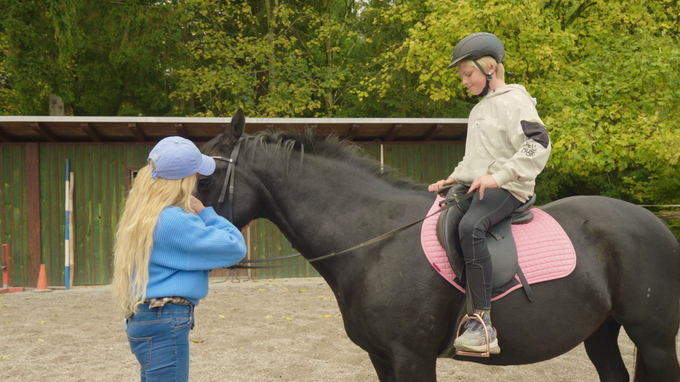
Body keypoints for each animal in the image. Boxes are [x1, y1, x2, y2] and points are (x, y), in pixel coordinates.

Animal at [197, 110, 680, 382]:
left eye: (203, 180)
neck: (374, 241)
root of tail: (656, 224)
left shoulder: (412, 358)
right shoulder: (382, 358)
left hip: (654, 339)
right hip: (601, 331)